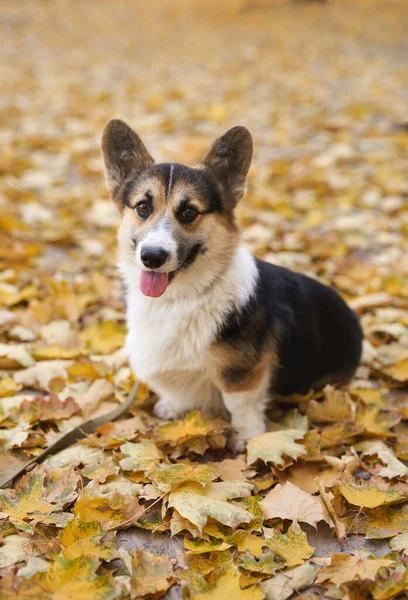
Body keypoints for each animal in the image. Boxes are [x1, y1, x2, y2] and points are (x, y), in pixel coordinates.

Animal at [100, 120, 362, 450]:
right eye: (143, 207)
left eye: (189, 212)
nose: (152, 256)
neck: (178, 298)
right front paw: (172, 408)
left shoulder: (242, 373)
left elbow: (239, 403)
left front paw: (247, 437)